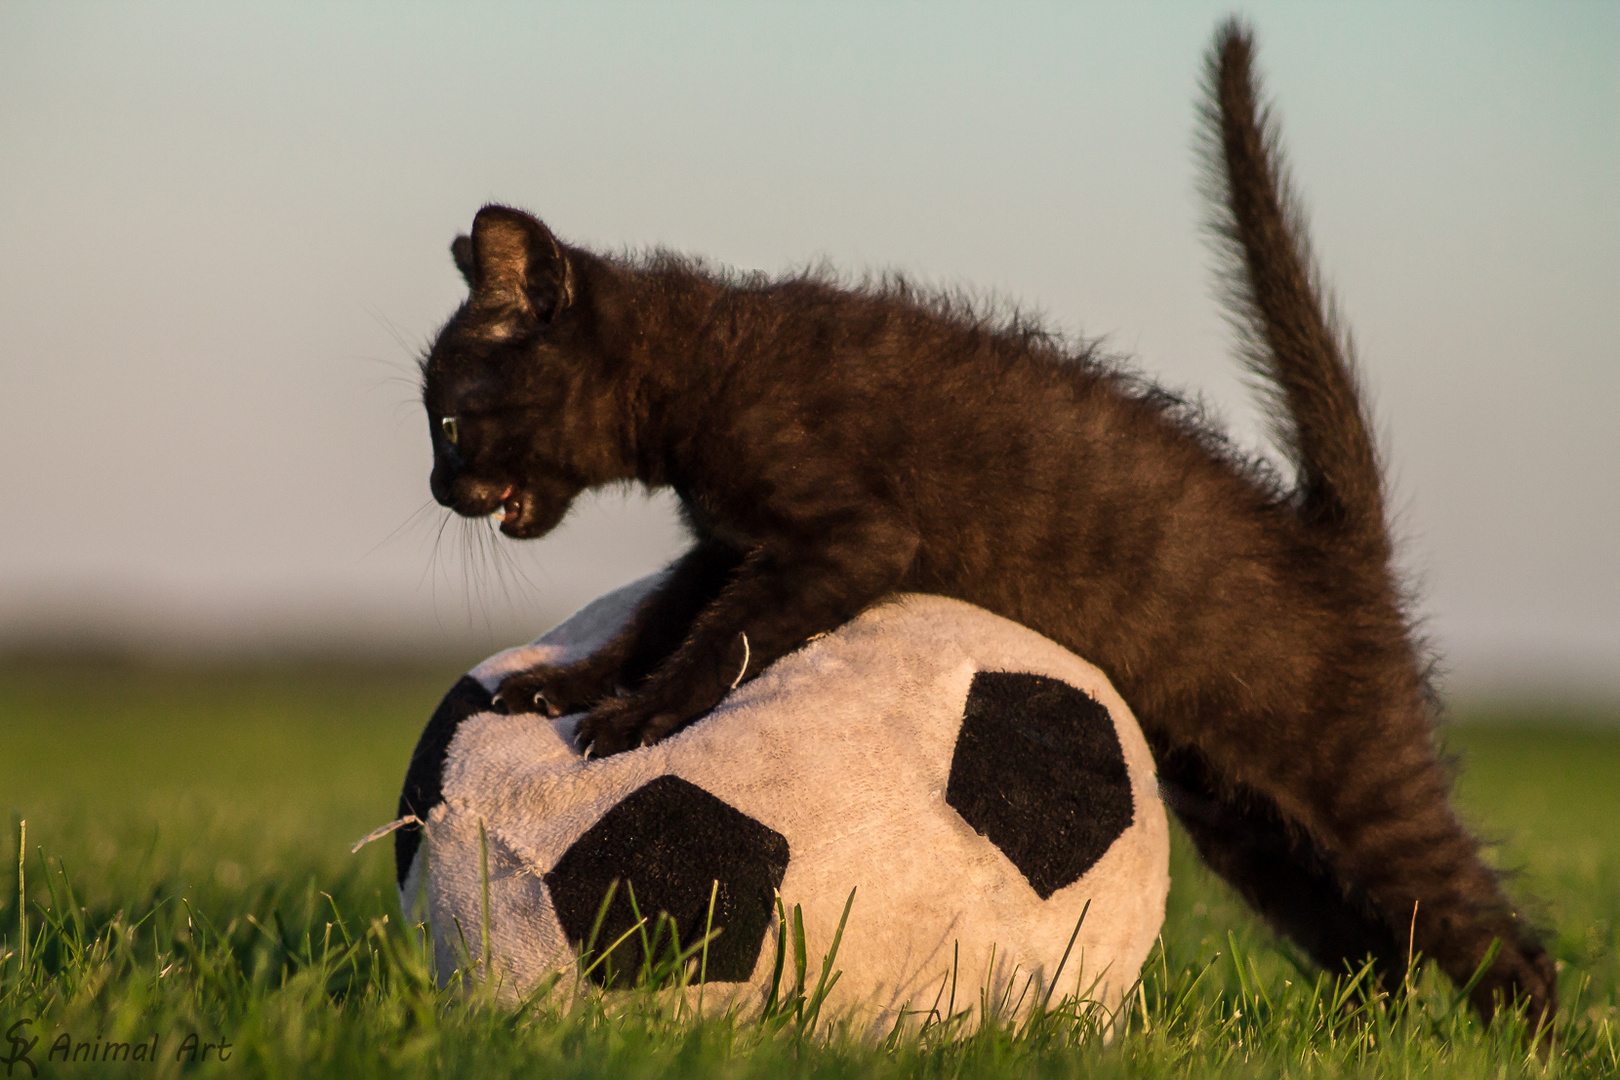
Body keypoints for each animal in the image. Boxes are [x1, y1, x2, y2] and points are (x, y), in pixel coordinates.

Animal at [417, 21, 1555, 1036]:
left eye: (449, 420)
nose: (436, 486)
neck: (701, 356)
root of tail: (1331, 540)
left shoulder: (844, 538)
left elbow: (715, 641)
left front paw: (640, 719)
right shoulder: (728, 546)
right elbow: (651, 622)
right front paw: (559, 685)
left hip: (1356, 782)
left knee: (1478, 922)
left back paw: (1530, 1041)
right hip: (1245, 819)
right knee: (1368, 942)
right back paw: (1354, 1037)